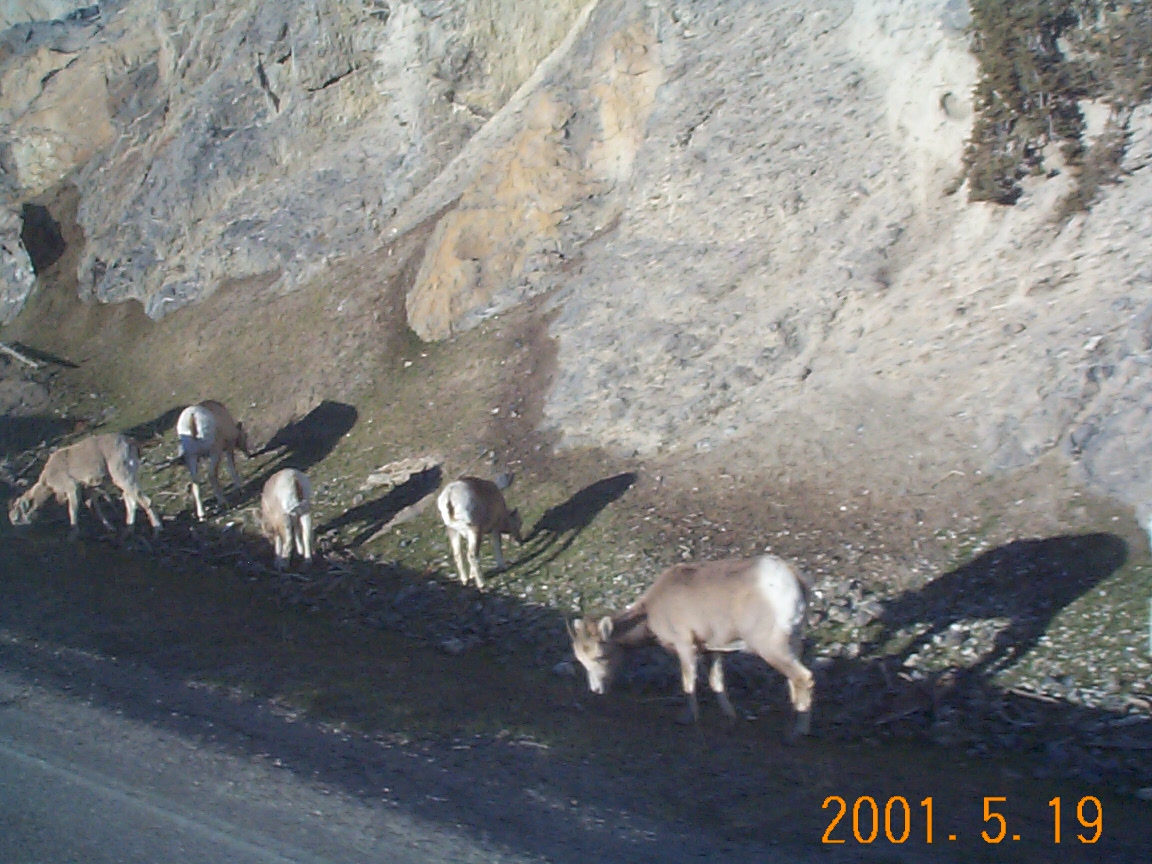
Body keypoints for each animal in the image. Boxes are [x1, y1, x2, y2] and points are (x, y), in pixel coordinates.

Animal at [8, 433, 162, 539]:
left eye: (17, 518)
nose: (17, 533)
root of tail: (130, 442)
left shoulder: (72, 489)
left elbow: (73, 511)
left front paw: (73, 535)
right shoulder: (89, 490)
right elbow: (95, 509)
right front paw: (110, 528)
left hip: (123, 477)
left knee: (143, 500)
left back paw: (157, 529)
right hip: (126, 478)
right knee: (131, 502)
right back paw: (128, 532)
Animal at [568, 555, 815, 737]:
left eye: (600, 656)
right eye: (581, 659)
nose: (596, 690)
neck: (653, 609)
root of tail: (793, 579)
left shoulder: (685, 646)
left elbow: (688, 682)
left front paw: (688, 719)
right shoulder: (713, 651)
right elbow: (717, 683)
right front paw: (730, 718)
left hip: (771, 647)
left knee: (804, 678)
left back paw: (796, 733)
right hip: (792, 644)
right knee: (794, 682)